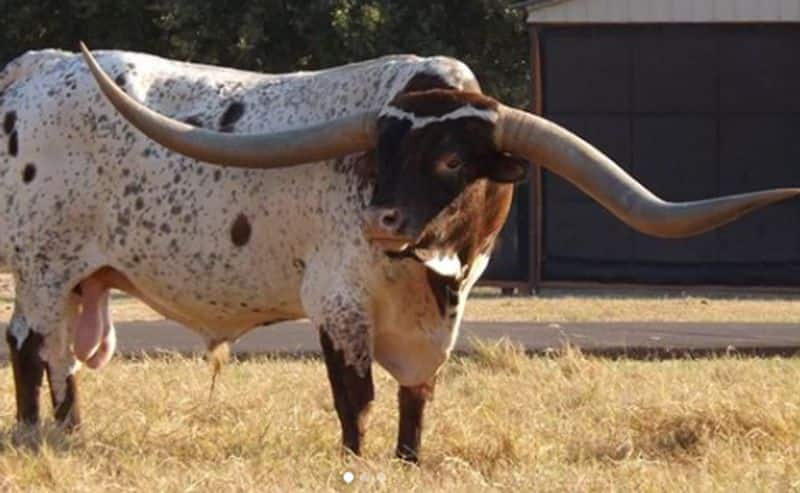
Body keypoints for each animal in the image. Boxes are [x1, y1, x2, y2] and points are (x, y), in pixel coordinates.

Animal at [0, 42, 796, 462]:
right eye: (381, 153)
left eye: (452, 159)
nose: (382, 219)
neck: (431, 274)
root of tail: (35, 69)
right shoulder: (339, 304)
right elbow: (357, 397)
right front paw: (355, 462)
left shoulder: (441, 320)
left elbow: (419, 396)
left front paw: (410, 460)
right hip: (44, 267)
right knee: (33, 347)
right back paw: (41, 434)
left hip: (81, 278)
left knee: (53, 353)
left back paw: (64, 434)